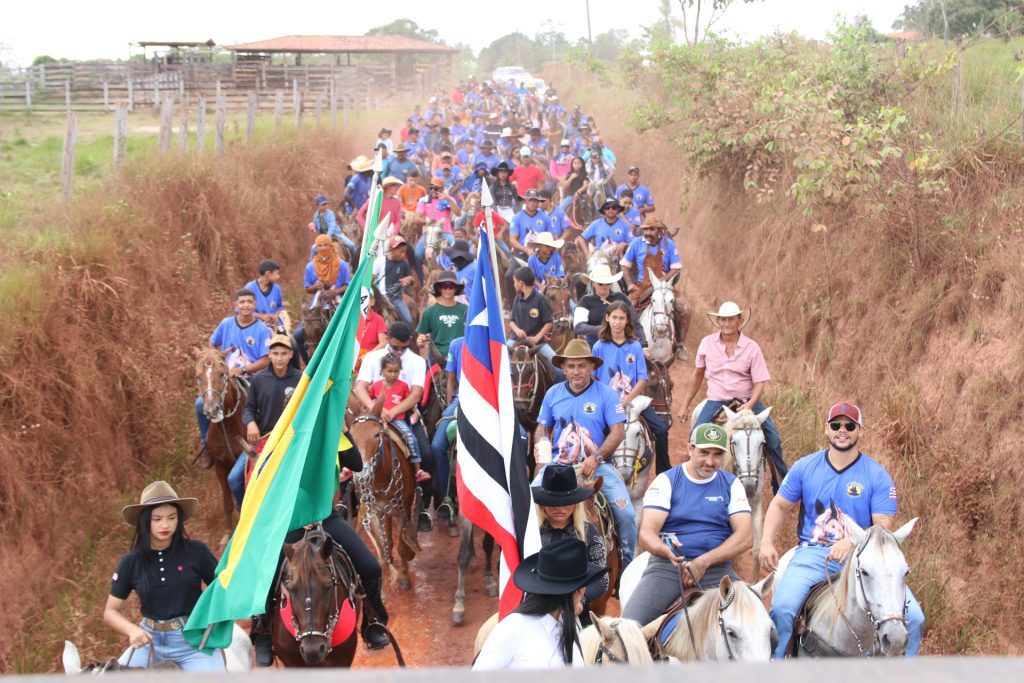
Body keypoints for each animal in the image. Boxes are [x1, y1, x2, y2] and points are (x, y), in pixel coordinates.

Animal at [193, 348, 245, 539]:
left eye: (222, 374)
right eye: (198, 376)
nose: (211, 410)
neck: (226, 427)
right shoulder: (220, 466)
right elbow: (227, 502)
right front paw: (228, 534)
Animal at [347, 408, 421, 591]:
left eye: (376, 435)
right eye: (351, 437)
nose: (361, 475)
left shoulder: (403, 511)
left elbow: (402, 548)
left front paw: (404, 578)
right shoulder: (373, 514)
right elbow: (381, 549)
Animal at [721, 405, 773, 581]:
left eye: (762, 443)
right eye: (734, 442)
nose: (749, 487)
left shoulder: (756, 505)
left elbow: (756, 550)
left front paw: (754, 581)